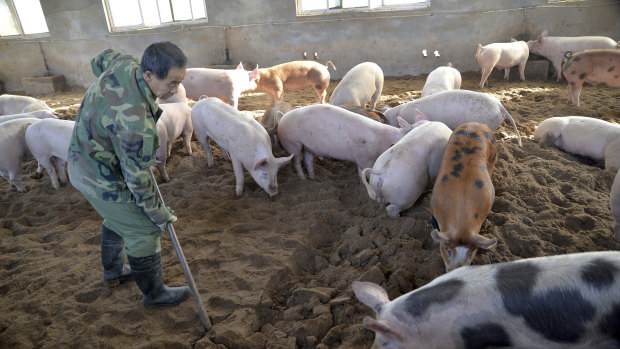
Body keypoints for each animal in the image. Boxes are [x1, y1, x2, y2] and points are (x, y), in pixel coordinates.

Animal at [274, 102, 412, 179]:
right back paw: (302, 179)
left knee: (308, 161)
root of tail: (283, 118)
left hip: (308, 146)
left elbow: (360, 173)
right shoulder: (365, 159)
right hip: (293, 144)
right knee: (297, 161)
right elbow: (366, 173)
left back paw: (313, 179)